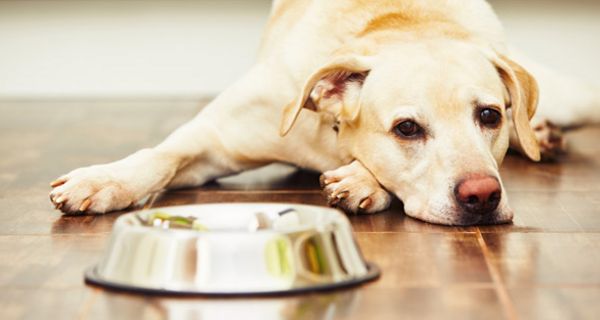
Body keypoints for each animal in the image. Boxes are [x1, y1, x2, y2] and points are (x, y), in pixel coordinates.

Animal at [49, 0, 596, 225]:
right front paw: (103, 180)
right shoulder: (213, 139)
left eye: (489, 117)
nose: (482, 196)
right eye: (407, 128)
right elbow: (160, 156)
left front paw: (360, 180)